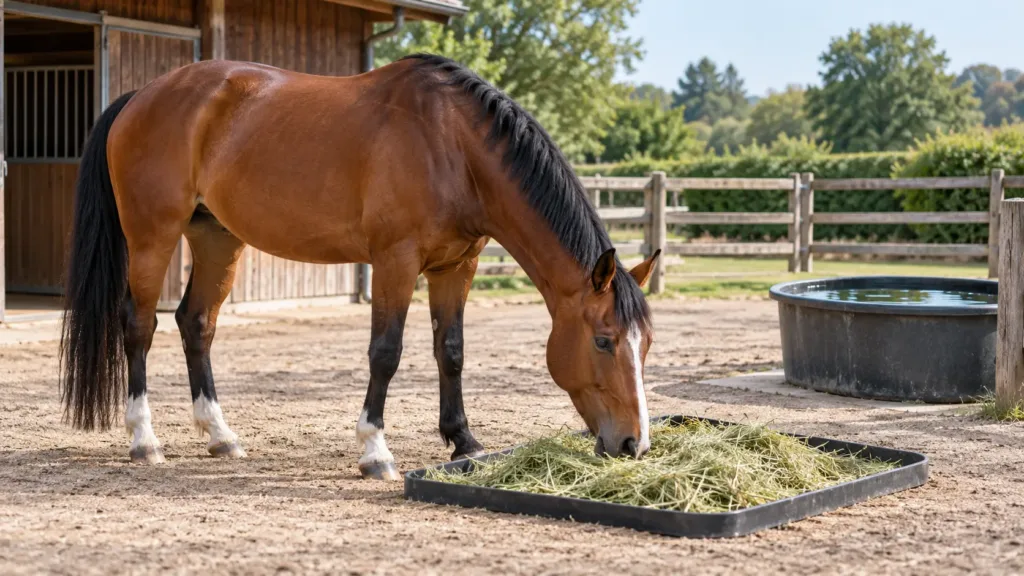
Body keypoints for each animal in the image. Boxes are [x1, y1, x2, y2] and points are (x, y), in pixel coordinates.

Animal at [59, 53, 660, 480]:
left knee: (196, 323)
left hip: (216, 238)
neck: (453, 145)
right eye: (604, 340)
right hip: (153, 236)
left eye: (646, 345)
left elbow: (451, 352)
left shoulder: (456, 267)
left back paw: (220, 435)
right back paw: (144, 440)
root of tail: (142, 95)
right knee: (140, 326)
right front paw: (374, 450)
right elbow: (386, 353)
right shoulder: (395, 261)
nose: (633, 443)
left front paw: (464, 443)